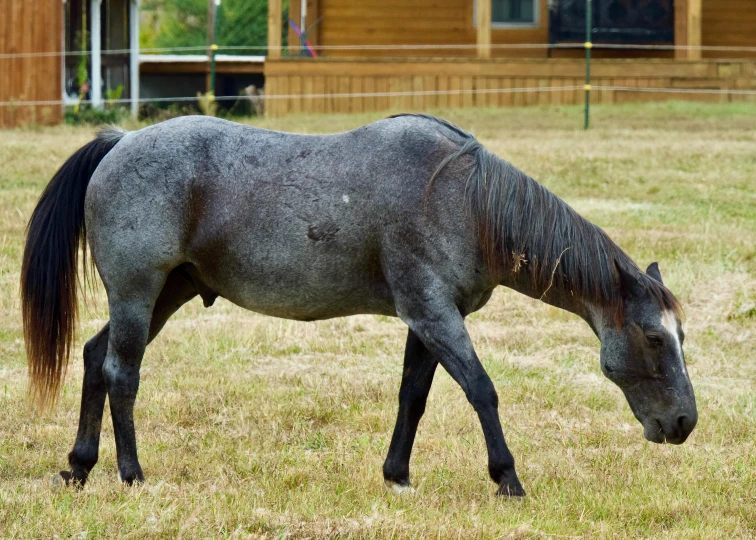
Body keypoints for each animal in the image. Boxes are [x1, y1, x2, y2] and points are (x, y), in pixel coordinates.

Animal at [19, 114, 696, 498]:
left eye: (680, 337)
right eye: (655, 339)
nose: (684, 423)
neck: (464, 199)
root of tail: (120, 141)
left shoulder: (428, 320)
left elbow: (413, 397)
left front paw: (397, 476)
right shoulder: (434, 314)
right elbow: (482, 390)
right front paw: (507, 478)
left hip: (166, 294)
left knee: (94, 358)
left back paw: (80, 467)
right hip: (139, 294)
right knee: (121, 374)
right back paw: (131, 475)